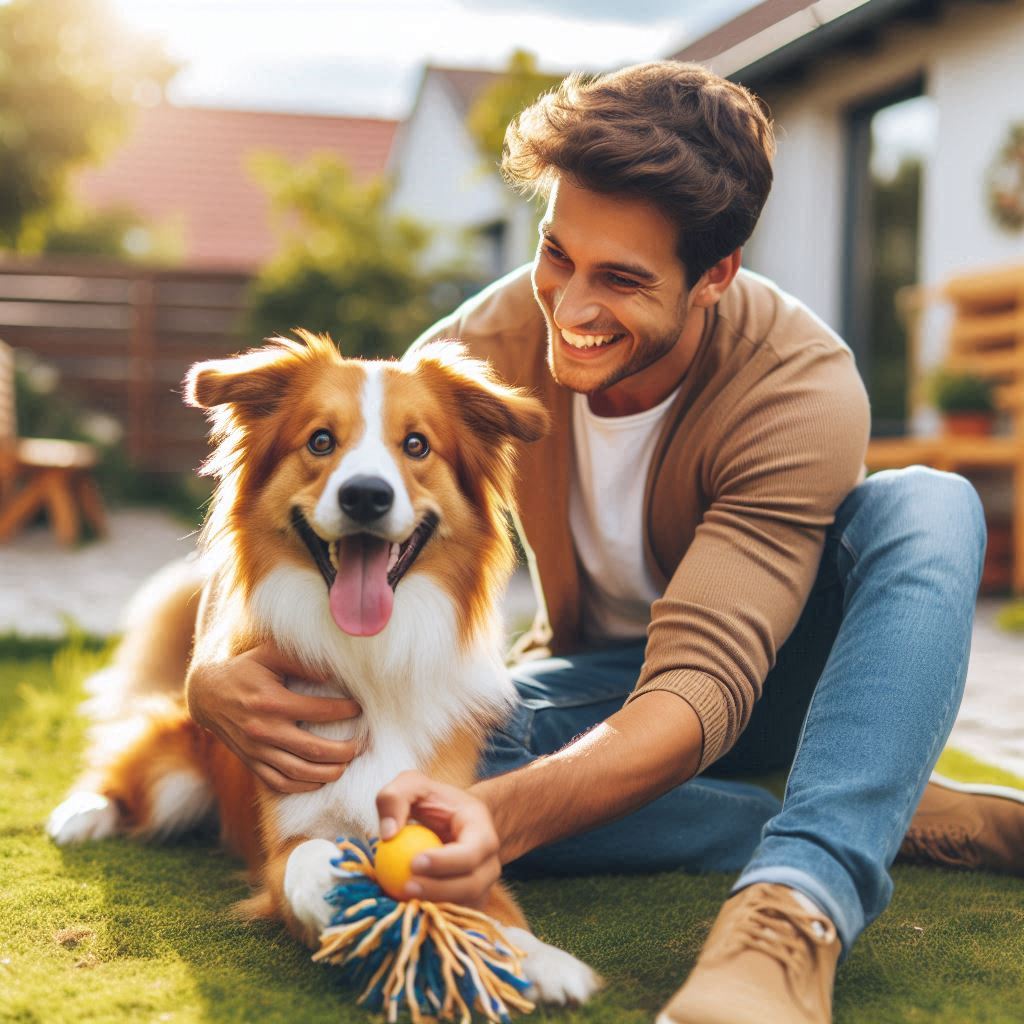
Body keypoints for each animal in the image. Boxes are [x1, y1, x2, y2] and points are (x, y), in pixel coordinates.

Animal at [48, 331, 602, 1003]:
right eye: (319, 441)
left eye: (416, 445)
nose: (365, 494)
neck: (369, 659)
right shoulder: (285, 840)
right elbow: (310, 858)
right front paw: (343, 896)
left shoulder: (455, 827)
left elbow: (494, 907)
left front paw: (540, 958)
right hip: (172, 780)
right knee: (126, 777)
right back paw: (82, 814)